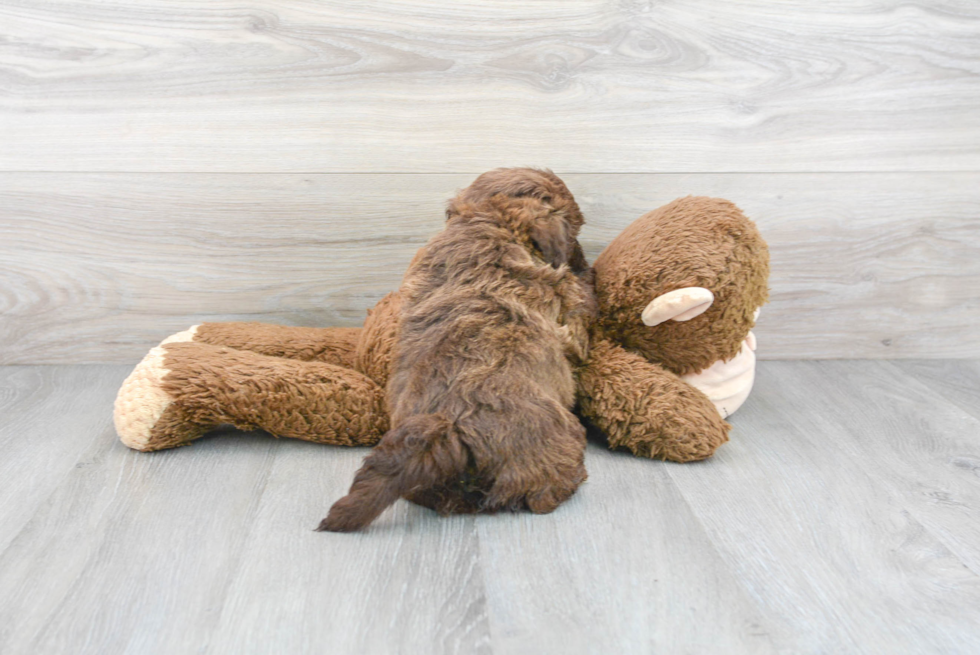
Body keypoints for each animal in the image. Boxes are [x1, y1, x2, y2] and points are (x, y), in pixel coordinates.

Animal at [320, 170, 596, 532]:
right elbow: (582, 303)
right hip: (556, 448)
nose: (584, 258)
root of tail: (448, 428)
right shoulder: (569, 310)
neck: (485, 222)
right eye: (574, 230)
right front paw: (589, 276)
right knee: (544, 492)